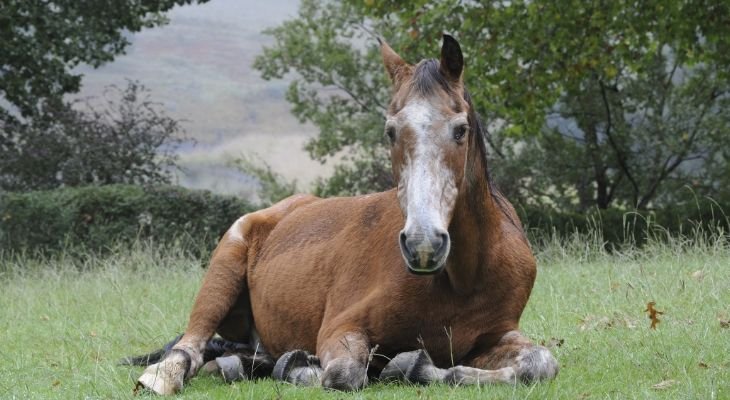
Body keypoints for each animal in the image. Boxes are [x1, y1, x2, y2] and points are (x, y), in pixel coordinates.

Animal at [128, 33, 556, 394]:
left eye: (461, 129)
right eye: (390, 131)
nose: (423, 245)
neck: (463, 278)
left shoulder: (495, 337)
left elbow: (540, 362)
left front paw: (411, 366)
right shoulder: (341, 327)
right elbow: (344, 373)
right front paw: (311, 367)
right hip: (223, 270)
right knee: (191, 346)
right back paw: (167, 375)